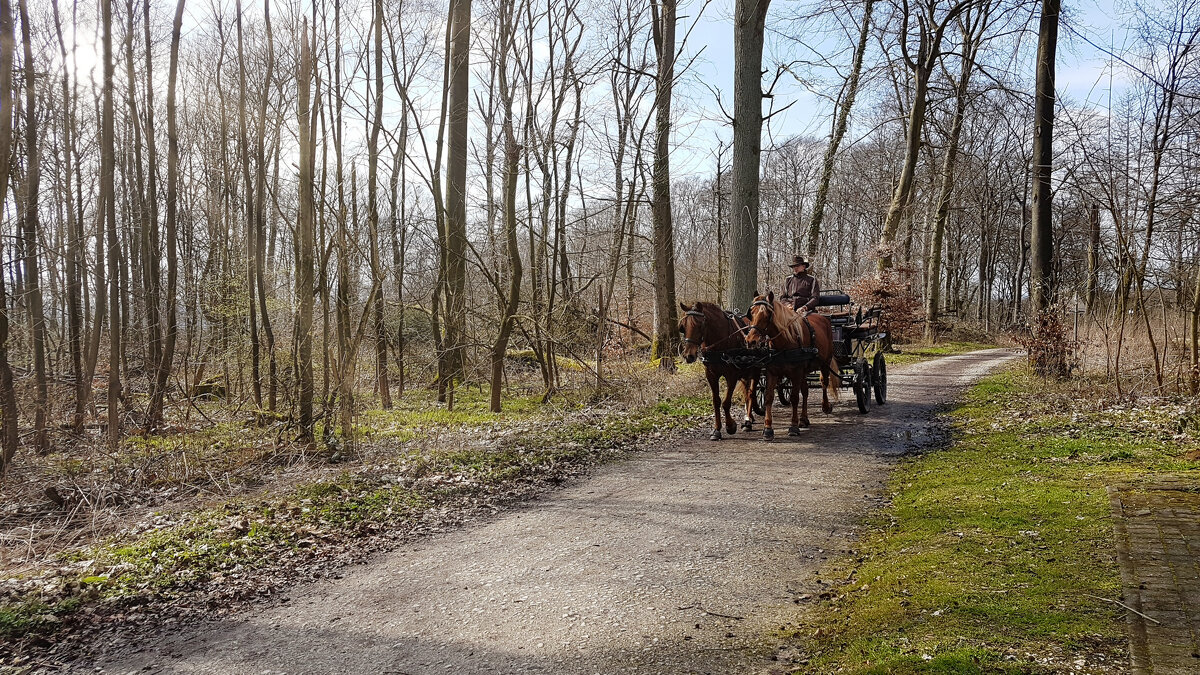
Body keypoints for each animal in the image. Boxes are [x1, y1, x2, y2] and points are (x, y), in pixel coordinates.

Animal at [681, 300, 753, 439]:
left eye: (700, 325)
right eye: (683, 326)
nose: (689, 355)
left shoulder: (732, 375)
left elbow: (726, 402)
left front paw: (730, 426)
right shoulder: (711, 374)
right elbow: (716, 401)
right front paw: (716, 430)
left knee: (751, 394)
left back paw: (748, 422)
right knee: (748, 392)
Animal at [744, 290, 840, 439]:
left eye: (767, 315)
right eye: (751, 313)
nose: (751, 341)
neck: (784, 343)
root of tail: (824, 319)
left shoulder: (796, 372)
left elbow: (795, 398)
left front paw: (793, 426)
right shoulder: (772, 372)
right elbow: (768, 397)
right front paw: (767, 428)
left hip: (825, 363)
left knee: (824, 382)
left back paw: (825, 406)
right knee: (805, 390)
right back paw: (804, 419)